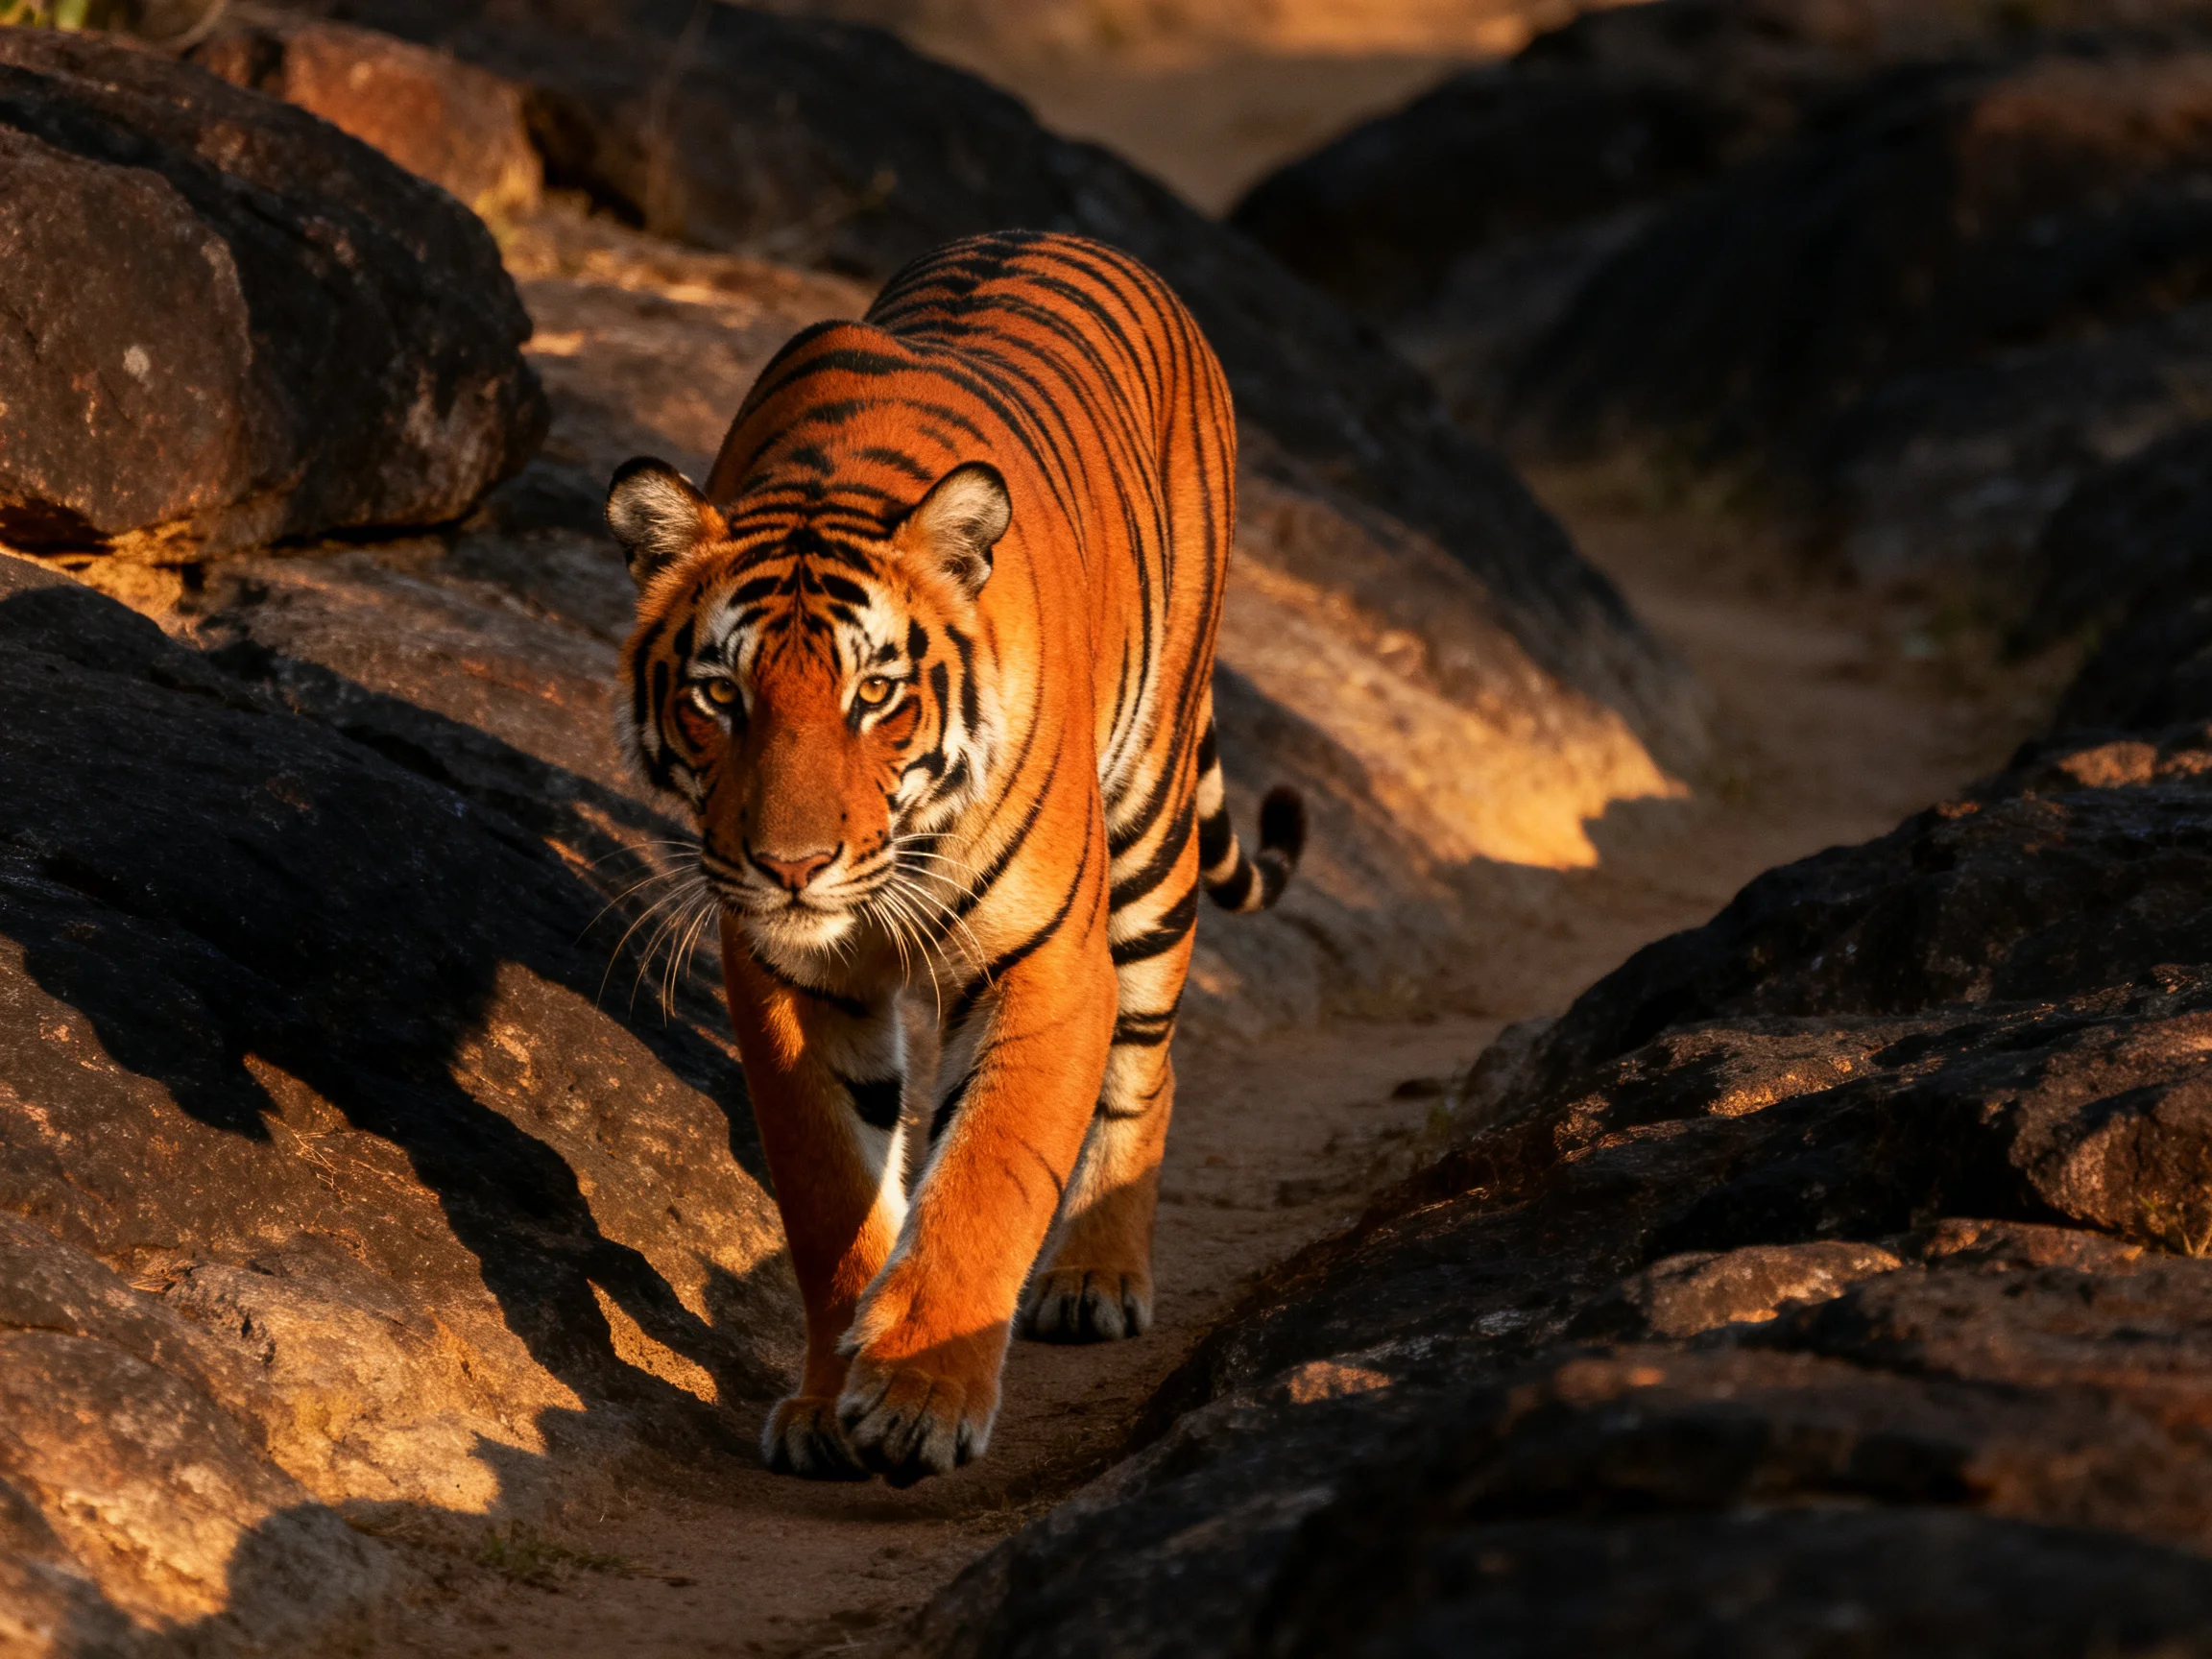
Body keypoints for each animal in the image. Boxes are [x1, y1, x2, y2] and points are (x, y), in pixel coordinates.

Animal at [606, 229, 1304, 1486]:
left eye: (874, 694)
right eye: (720, 697)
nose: (792, 867)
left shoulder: (1050, 962)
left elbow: (987, 1175)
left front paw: (919, 1397)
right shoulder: (785, 977)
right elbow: (834, 1196)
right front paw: (827, 1403)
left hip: (1151, 823)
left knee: (1148, 1061)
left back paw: (1095, 1278)